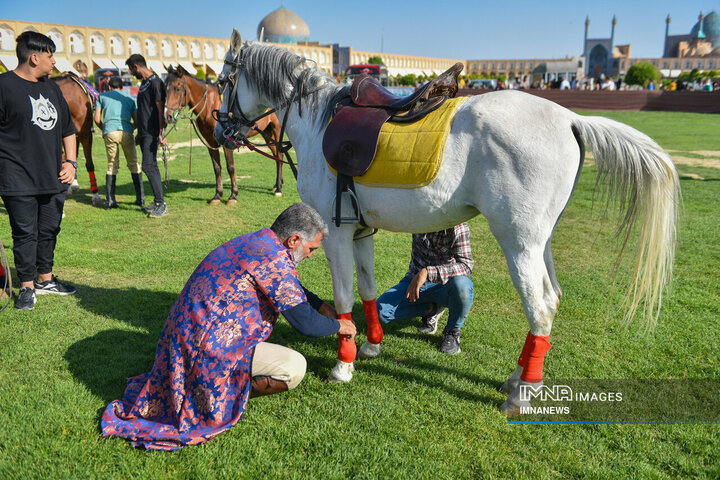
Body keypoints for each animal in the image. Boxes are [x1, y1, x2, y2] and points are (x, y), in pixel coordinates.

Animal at [165, 63, 286, 202]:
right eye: (165, 88)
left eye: (177, 89)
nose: (168, 116)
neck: (211, 104)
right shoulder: (210, 142)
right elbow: (217, 168)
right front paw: (217, 195)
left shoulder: (227, 142)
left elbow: (230, 167)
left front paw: (233, 195)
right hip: (267, 133)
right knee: (276, 155)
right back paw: (277, 184)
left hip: (277, 130)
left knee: (280, 155)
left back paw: (278, 188)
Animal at [214, 30, 680, 414]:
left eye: (222, 80)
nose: (220, 131)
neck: (318, 122)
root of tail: (570, 118)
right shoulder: (360, 231)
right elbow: (366, 291)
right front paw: (370, 346)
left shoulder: (336, 234)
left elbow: (344, 297)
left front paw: (343, 366)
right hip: (540, 241)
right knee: (553, 298)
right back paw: (518, 377)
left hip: (519, 242)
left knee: (542, 306)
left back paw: (522, 394)